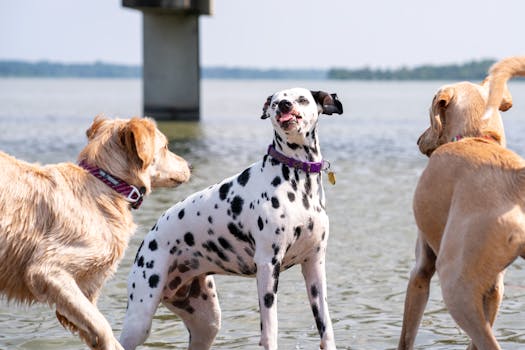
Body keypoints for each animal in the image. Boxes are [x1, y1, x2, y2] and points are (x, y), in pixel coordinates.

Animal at [117, 87, 344, 350]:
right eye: (275, 102)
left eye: (302, 99)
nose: (284, 106)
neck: (298, 182)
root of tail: (149, 237)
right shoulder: (268, 266)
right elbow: (270, 329)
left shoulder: (314, 265)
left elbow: (326, 327)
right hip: (140, 319)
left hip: (206, 324)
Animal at [398, 56, 524, 348]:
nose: (418, 140)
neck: (476, 135)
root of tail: (515, 178)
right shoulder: (495, 288)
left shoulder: (421, 268)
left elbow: (406, 337)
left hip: (455, 283)